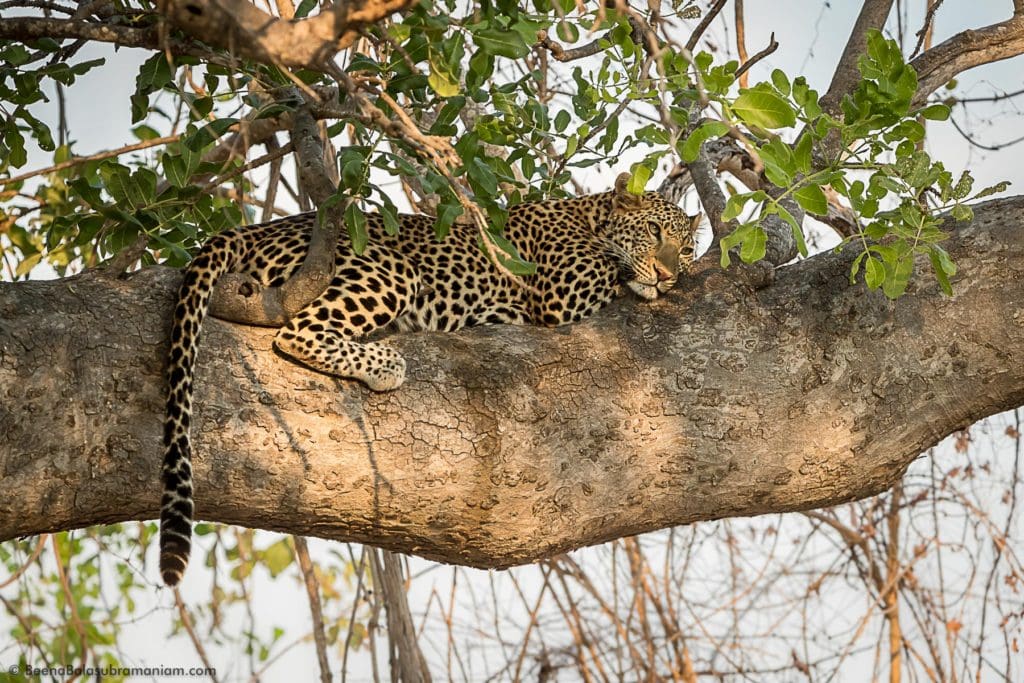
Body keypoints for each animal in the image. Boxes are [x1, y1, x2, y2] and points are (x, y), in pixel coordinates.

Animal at [159, 172, 700, 589]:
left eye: (689, 248)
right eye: (654, 231)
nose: (668, 274)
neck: (588, 215)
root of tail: (255, 229)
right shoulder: (566, 296)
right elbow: (616, 278)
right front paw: (639, 278)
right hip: (388, 267)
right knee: (297, 332)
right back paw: (384, 365)